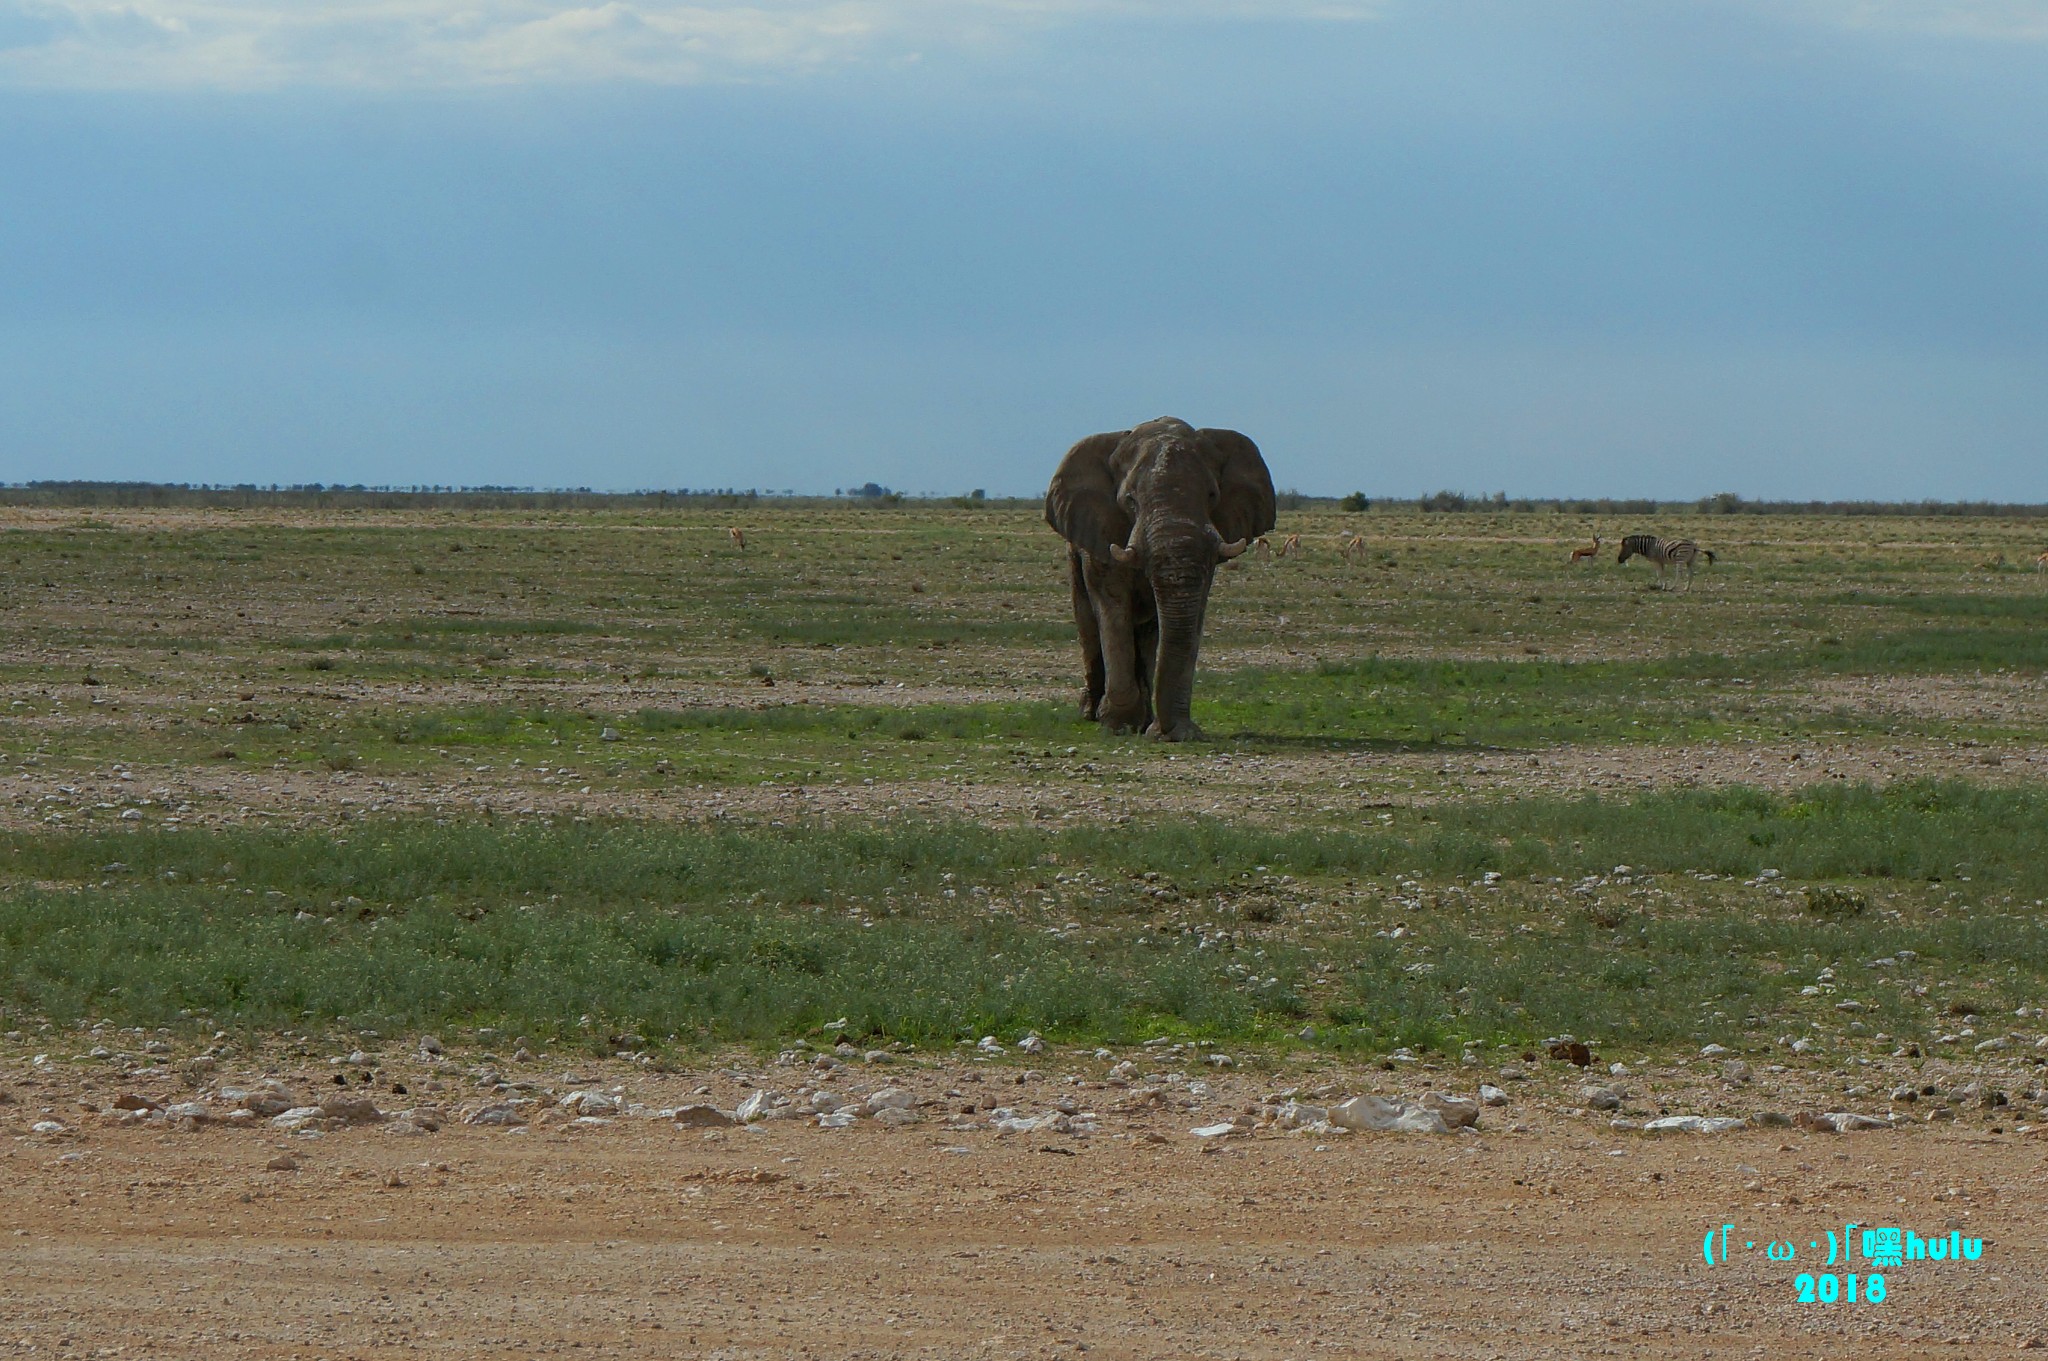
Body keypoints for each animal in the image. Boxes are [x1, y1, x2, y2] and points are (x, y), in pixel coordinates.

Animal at [1048, 413, 1269, 736]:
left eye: (1212, 495)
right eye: (1130, 500)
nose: (1167, 734)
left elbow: (1191, 611)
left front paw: (1173, 731)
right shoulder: (1102, 529)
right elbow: (1112, 603)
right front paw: (1117, 725)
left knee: (1148, 635)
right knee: (1089, 625)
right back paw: (1092, 713)